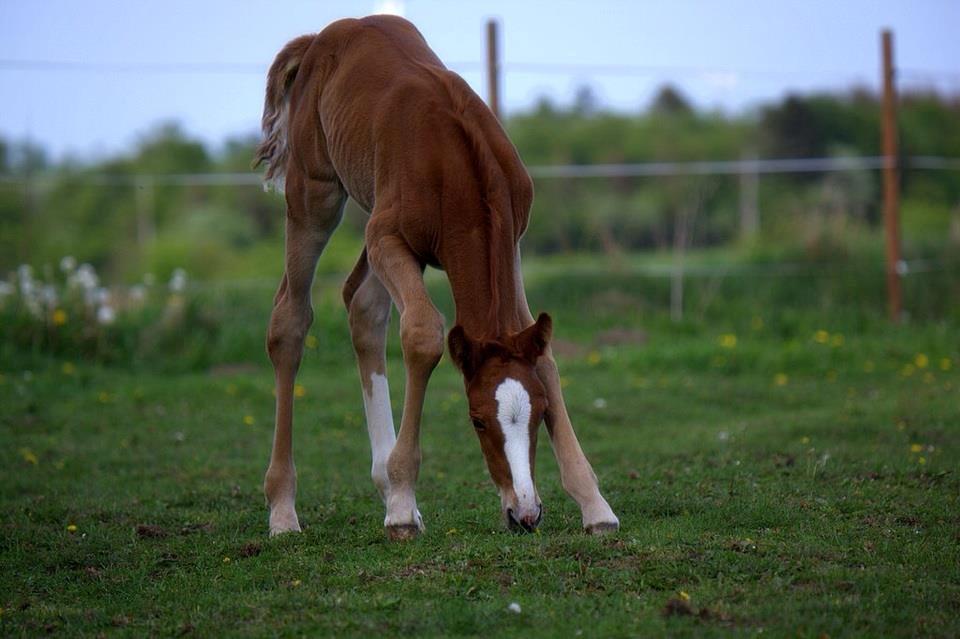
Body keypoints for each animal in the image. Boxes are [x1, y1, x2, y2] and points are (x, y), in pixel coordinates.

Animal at [253, 16, 616, 540]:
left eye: (541, 412)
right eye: (477, 420)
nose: (524, 515)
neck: (460, 165)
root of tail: (323, 36)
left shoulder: (512, 241)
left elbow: (544, 356)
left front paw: (595, 505)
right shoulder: (387, 236)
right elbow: (423, 334)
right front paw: (404, 505)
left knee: (363, 305)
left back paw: (381, 482)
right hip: (314, 195)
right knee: (290, 320)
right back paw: (284, 509)